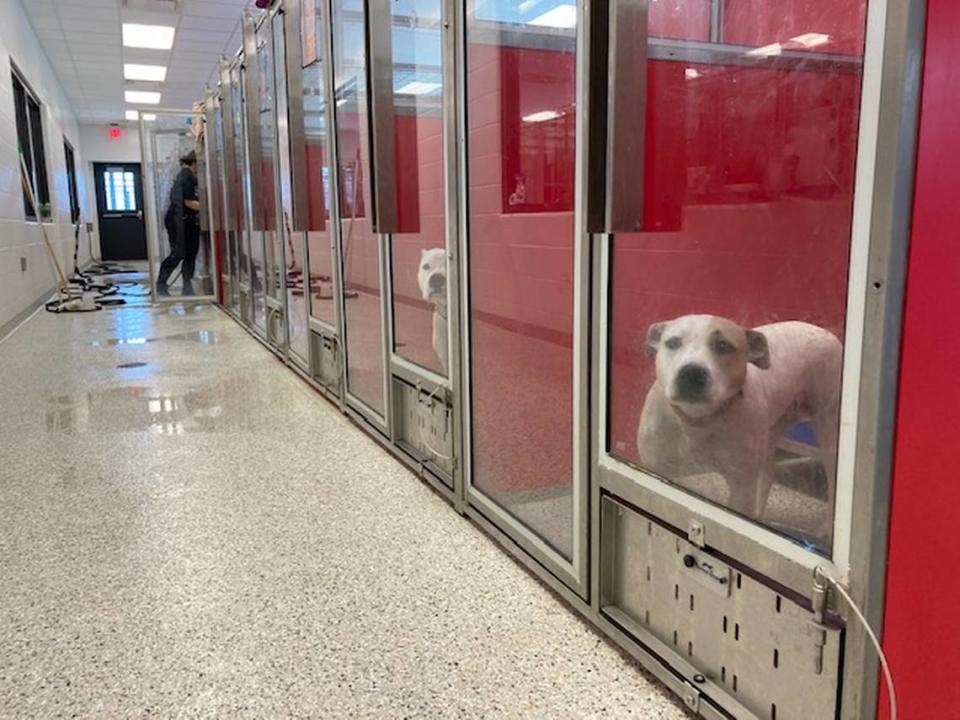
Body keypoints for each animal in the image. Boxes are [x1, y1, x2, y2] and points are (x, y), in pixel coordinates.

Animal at [636, 316, 840, 524]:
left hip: (829, 431)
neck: (698, 421)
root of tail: (824, 331)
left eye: (723, 346)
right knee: (767, 473)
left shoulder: (741, 486)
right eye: (673, 343)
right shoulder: (658, 470)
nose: (692, 372)